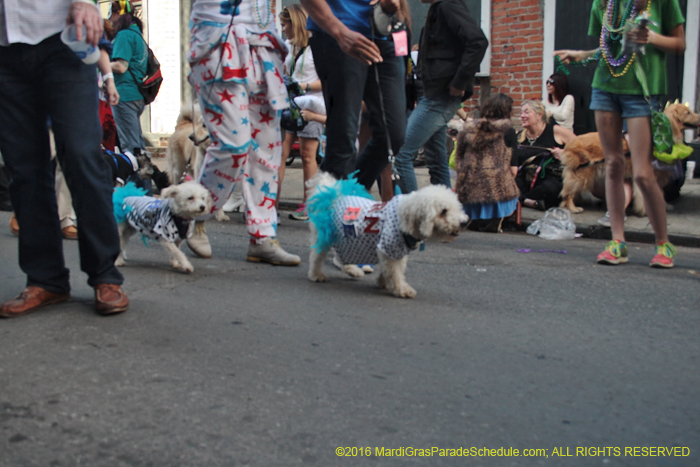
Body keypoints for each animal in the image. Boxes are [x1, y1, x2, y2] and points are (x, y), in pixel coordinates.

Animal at [304, 173, 464, 300]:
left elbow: (392, 270)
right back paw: (316, 275)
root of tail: (332, 195)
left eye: (456, 207)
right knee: (316, 257)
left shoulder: (396, 252)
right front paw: (402, 289)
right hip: (324, 236)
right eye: (443, 211)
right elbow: (395, 272)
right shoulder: (389, 249)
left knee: (341, 255)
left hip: (345, 238)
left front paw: (384, 282)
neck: (405, 216)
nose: (462, 223)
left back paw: (352, 270)